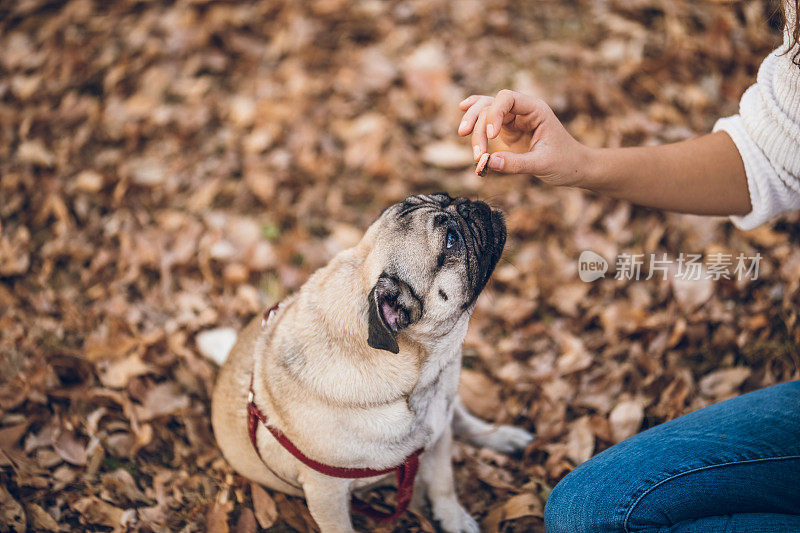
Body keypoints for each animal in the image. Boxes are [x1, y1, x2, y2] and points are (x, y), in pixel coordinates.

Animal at [212, 193, 536, 528]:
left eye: (445, 197)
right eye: (450, 239)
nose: (471, 205)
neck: (418, 383)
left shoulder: (438, 437)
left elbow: (443, 484)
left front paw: (453, 519)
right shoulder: (326, 493)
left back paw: (505, 436)